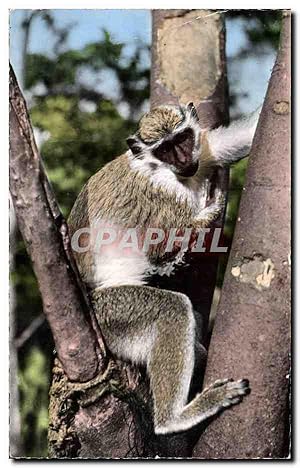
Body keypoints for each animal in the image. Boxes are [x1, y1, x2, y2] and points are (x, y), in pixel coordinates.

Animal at [68, 102, 260, 436]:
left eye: (182, 139)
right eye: (165, 149)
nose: (183, 160)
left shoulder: (204, 149)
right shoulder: (167, 195)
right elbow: (160, 248)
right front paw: (212, 209)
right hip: (109, 314)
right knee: (172, 310)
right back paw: (175, 418)